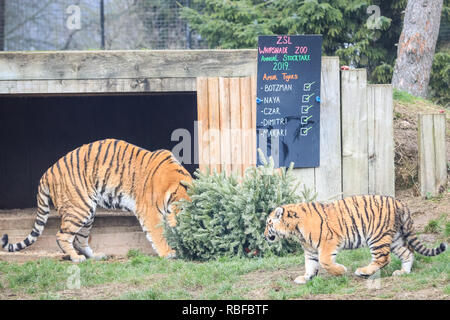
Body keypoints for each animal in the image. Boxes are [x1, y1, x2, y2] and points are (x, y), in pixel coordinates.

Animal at [0, 139, 191, 262]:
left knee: (79, 239)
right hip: (79, 208)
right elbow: (159, 235)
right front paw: (168, 253)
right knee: (62, 235)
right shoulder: (150, 212)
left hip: (87, 212)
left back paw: (96, 256)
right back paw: (76, 258)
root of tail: (48, 172)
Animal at [264, 194, 446, 284]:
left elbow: (325, 262)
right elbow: (310, 266)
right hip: (394, 238)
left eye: (268, 223)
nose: (265, 236)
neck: (295, 230)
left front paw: (341, 271)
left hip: (377, 237)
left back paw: (363, 271)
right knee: (407, 252)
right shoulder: (310, 250)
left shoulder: (328, 242)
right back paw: (402, 273)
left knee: (383, 259)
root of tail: (400, 202)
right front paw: (305, 278)